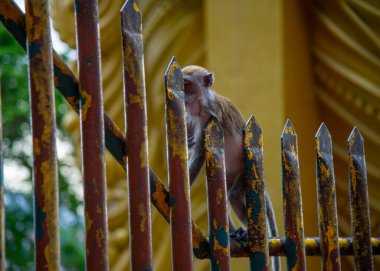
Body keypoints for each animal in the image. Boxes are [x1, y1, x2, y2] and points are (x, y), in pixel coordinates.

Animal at [183, 65, 278, 270]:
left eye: (186, 84)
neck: (201, 105)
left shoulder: (210, 118)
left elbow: (200, 154)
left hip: (243, 173)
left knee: (234, 194)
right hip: (229, 175)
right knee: (223, 194)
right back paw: (233, 232)